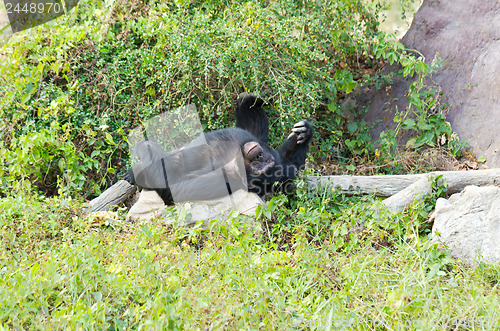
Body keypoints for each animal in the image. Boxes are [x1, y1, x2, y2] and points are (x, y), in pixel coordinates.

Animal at [124, 92, 312, 205]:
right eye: (264, 159)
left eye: (261, 166)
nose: (259, 157)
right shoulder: (254, 140)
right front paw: (303, 134)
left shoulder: (225, 177)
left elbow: (174, 185)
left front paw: (145, 150)